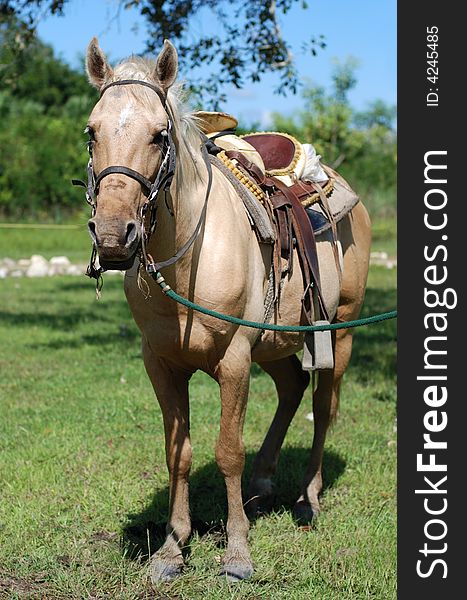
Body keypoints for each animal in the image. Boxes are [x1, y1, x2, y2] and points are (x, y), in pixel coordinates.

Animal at [83, 37, 370, 580]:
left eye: (160, 135)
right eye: (92, 132)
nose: (113, 237)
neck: (186, 260)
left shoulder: (235, 359)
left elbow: (228, 451)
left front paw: (237, 551)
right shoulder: (160, 363)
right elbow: (178, 453)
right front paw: (172, 549)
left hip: (338, 330)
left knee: (324, 407)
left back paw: (308, 499)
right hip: (276, 342)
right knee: (292, 387)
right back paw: (262, 488)